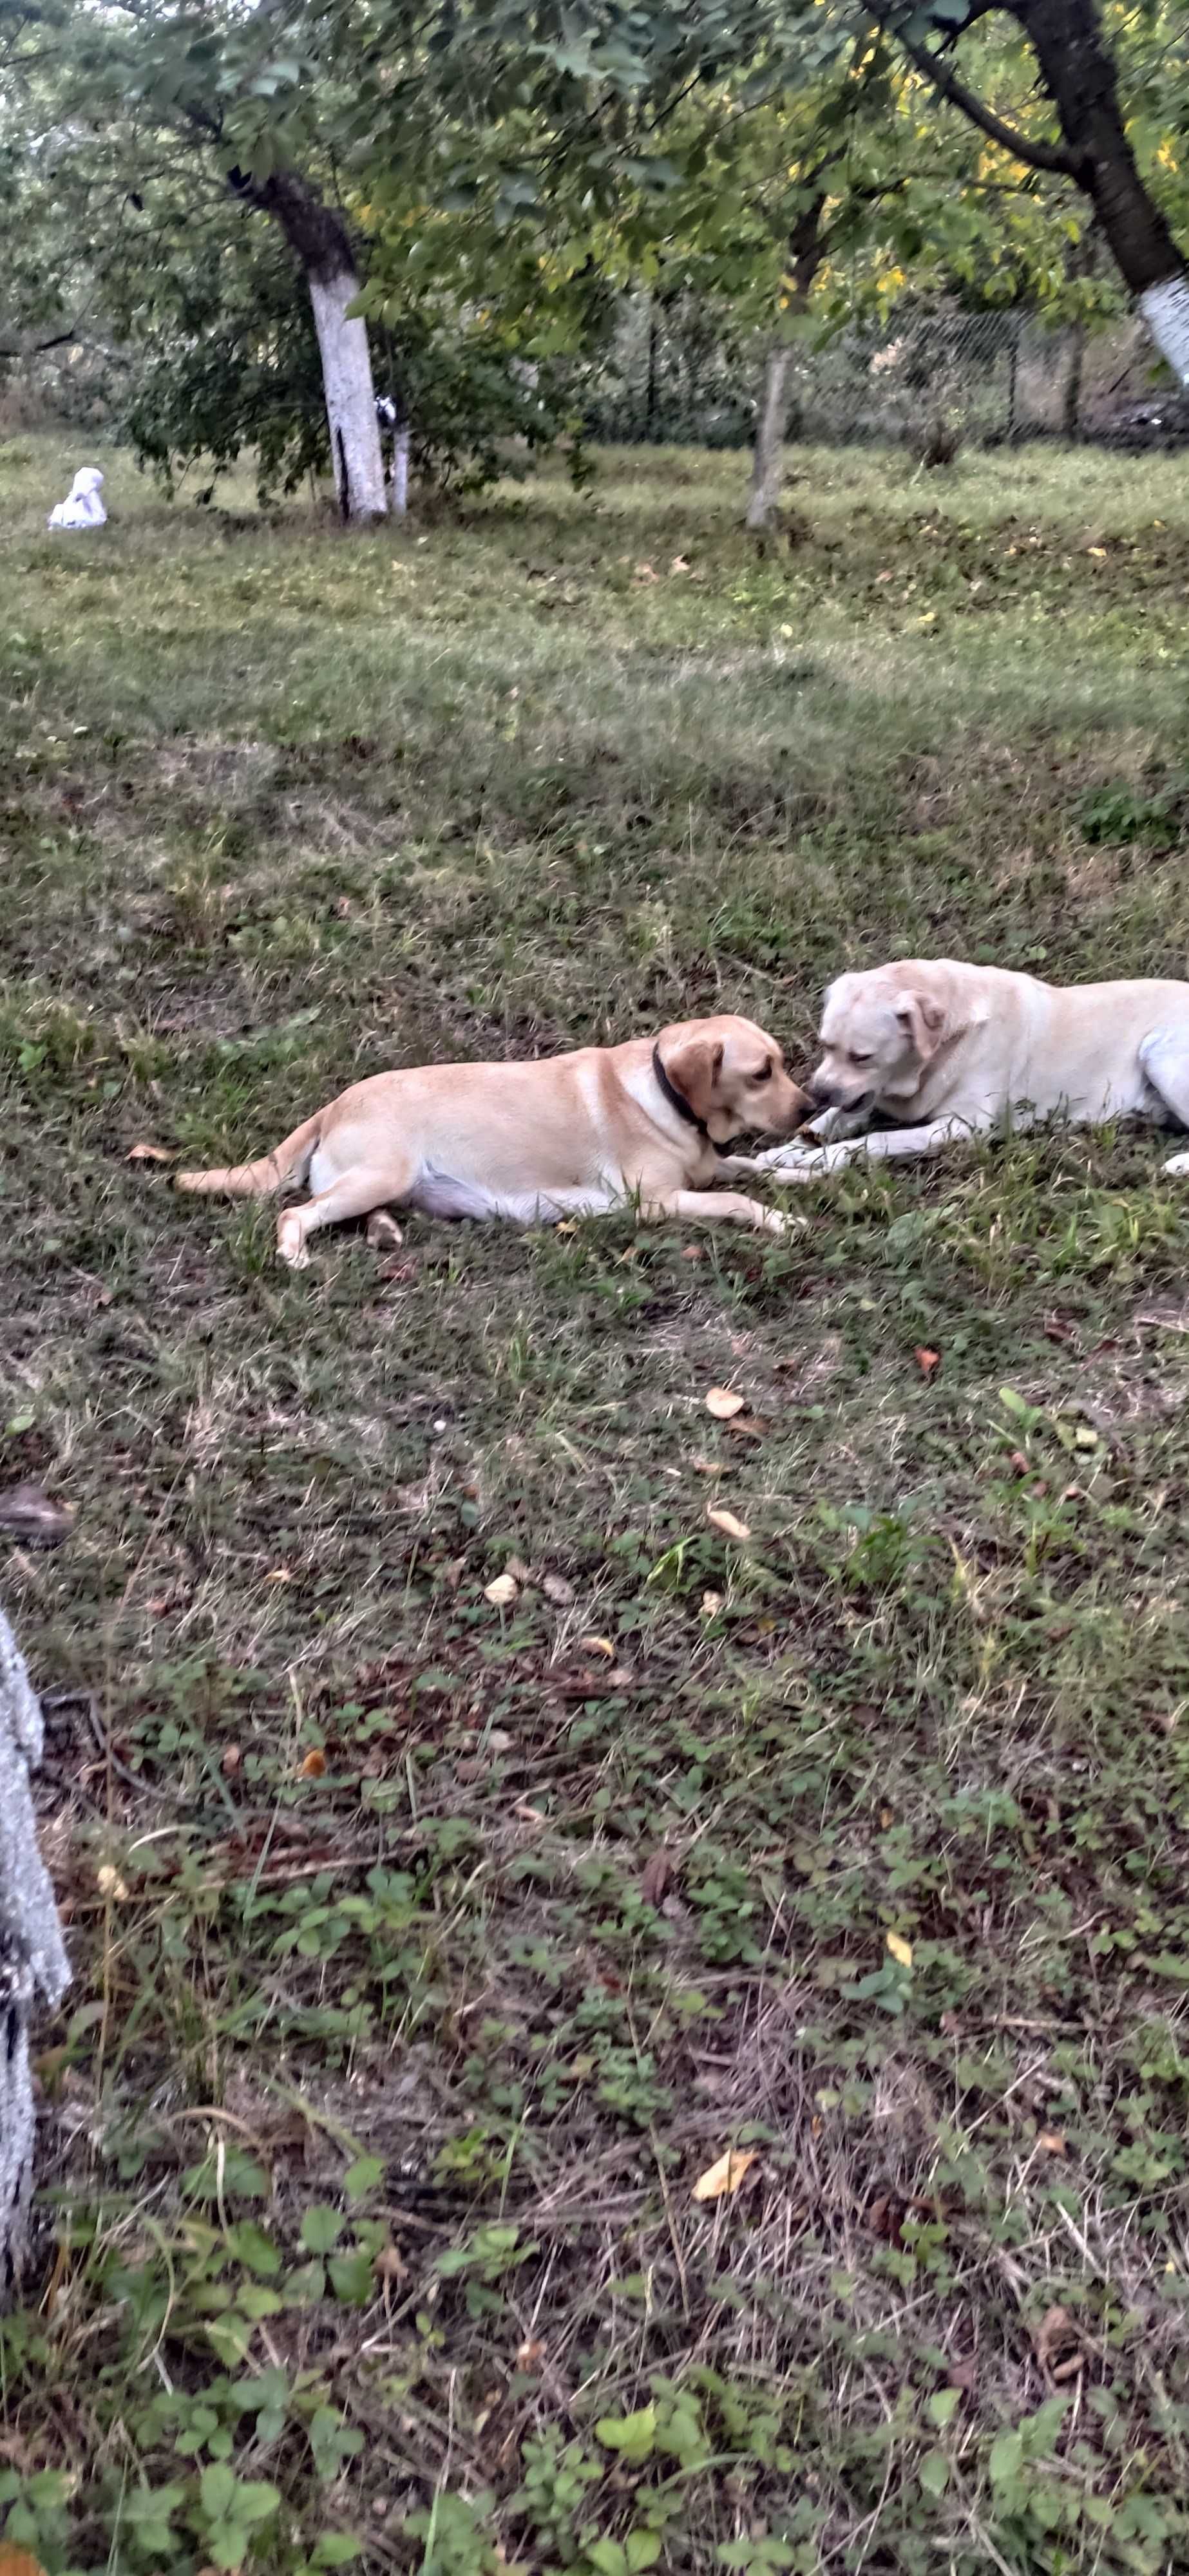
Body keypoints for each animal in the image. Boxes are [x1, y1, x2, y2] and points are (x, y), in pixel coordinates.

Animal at [176, 1020, 808, 1273]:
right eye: (761, 1074)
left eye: (780, 1064)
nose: (810, 1107)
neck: (667, 1096)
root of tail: (335, 1103)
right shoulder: (655, 1202)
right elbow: (736, 1199)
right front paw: (784, 1220)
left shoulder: (707, 1168)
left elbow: (748, 1165)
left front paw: (799, 1172)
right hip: (383, 1172)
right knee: (295, 1212)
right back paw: (295, 1252)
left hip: (380, 1182)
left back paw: (385, 1231)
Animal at [741, 958, 1189, 1180]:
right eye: (825, 1045)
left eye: (862, 1057)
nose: (817, 1093)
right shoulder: (868, 1099)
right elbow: (828, 1122)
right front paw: (789, 1151)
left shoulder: (961, 1127)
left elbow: (874, 1141)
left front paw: (818, 1160)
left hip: (1159, 1051)